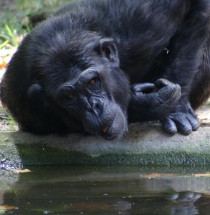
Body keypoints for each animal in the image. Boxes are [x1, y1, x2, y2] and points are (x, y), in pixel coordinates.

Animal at [0, 0, 210, 140]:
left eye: (93, 82)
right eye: (69, 96)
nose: (94, 107)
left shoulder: (144, 18)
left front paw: (176, 110)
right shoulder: (24, 104)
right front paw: (145, 102)